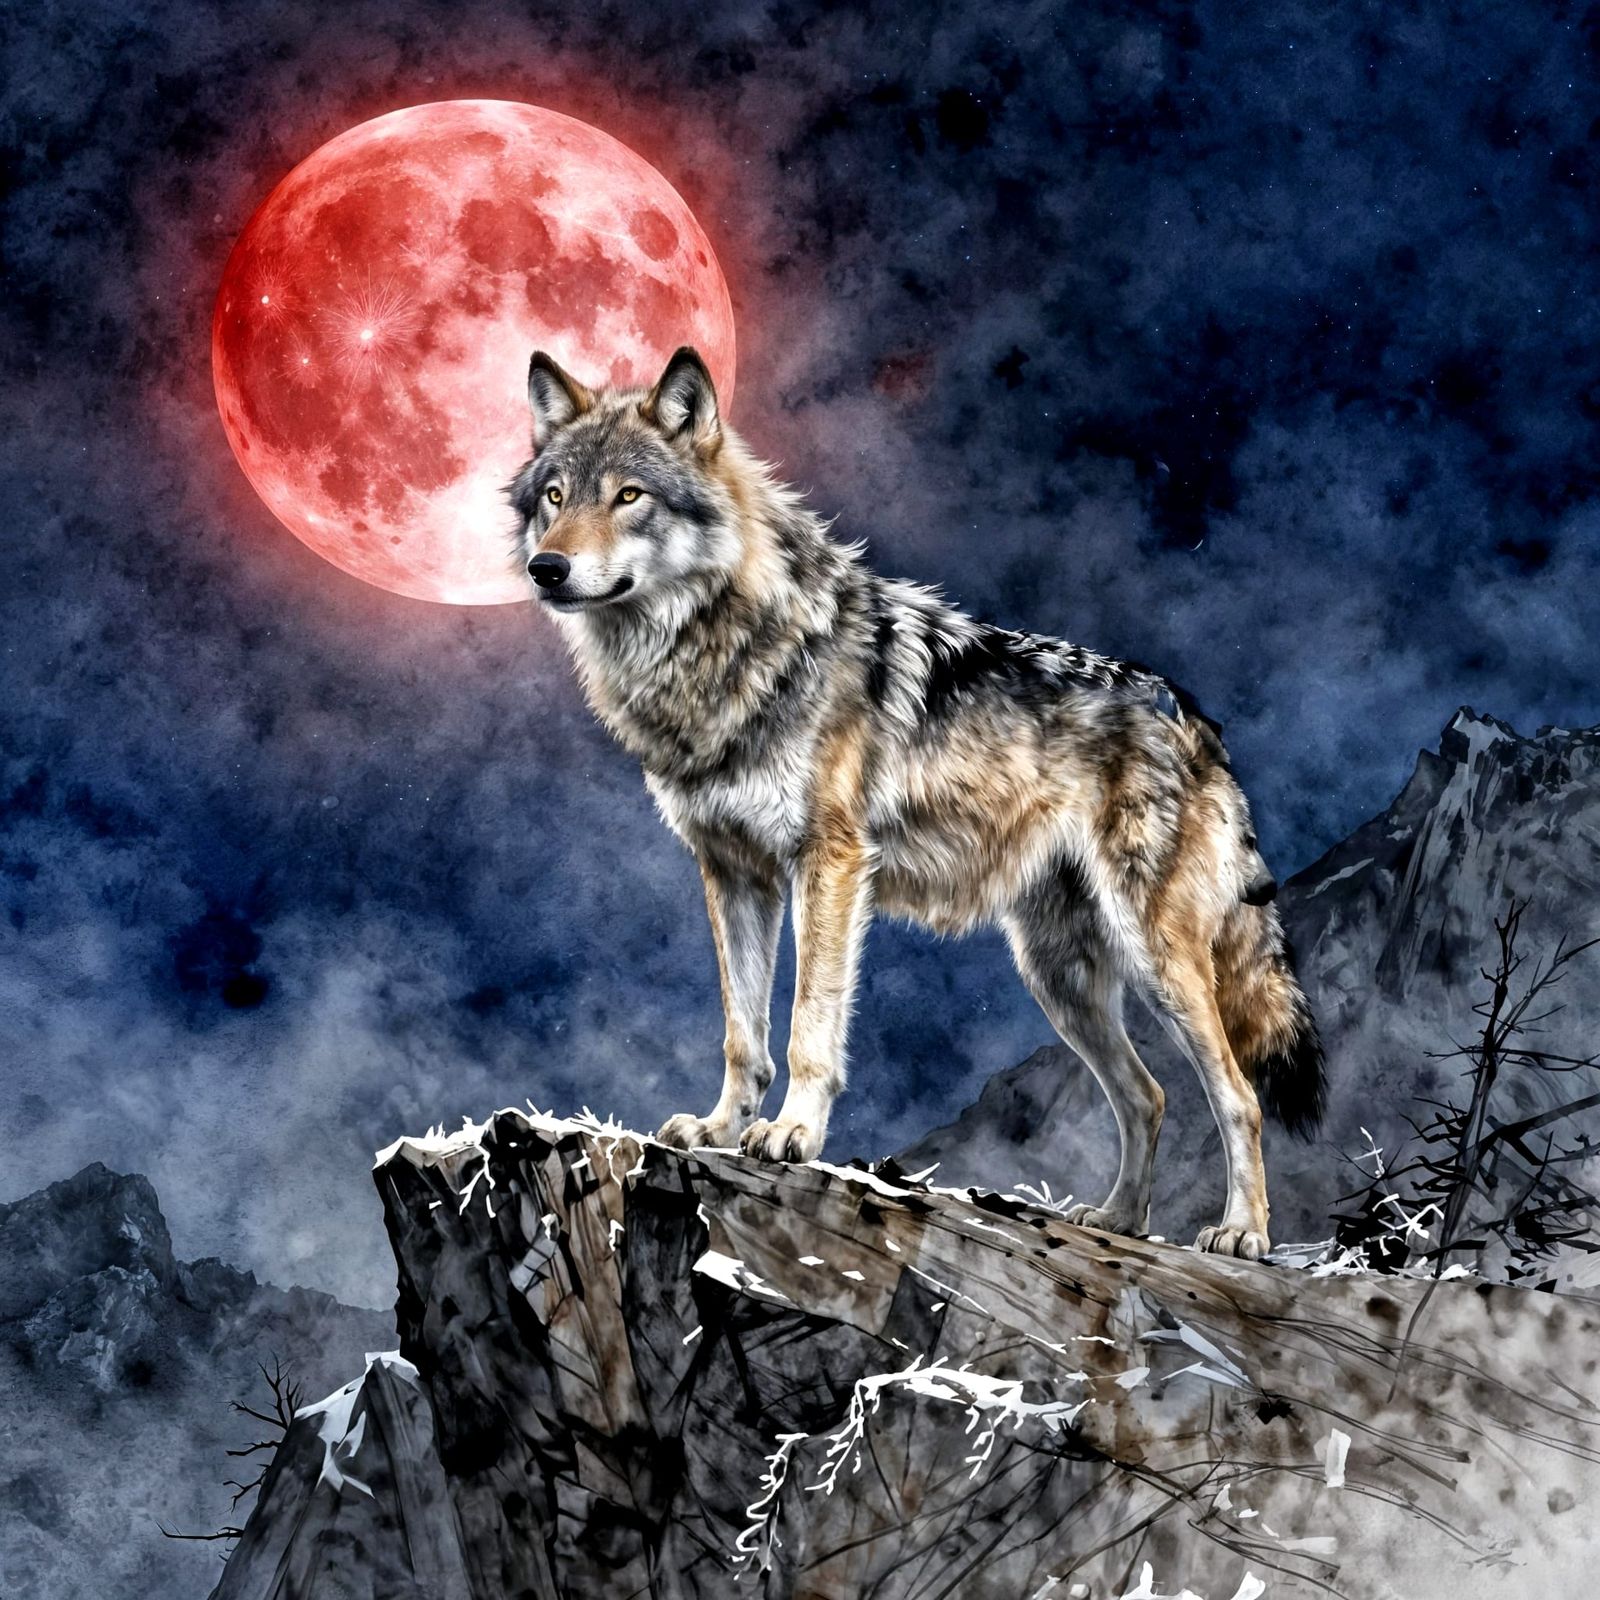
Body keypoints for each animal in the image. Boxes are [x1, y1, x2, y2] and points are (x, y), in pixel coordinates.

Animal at [508, 346, 1325, 1258]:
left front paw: (791, 1134)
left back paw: (1241, 1233)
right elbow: (742, 1031)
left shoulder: (828, 863)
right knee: (1147, 1096)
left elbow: (808, 1023)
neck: (722, 653)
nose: (547, 569)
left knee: (1236, 1095)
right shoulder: (733, 873)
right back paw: (1118, 1221)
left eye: (629, 496)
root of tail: (1187, 711)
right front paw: (720, 1127)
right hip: (1059, 978)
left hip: (1157, 960)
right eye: (555, 496)